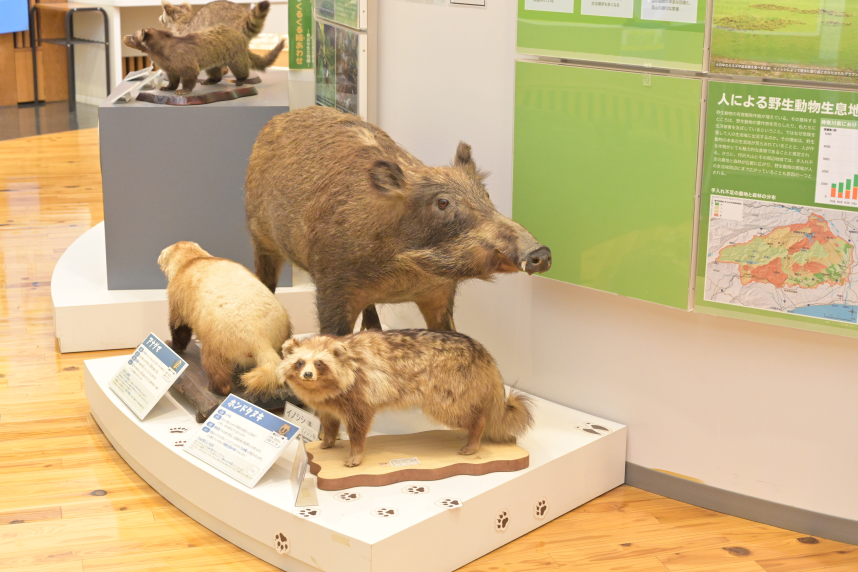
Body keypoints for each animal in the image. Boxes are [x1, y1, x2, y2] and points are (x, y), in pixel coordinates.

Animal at [122, 25, 282, 94]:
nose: (124, 36)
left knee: (243, 72)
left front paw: (182, 91)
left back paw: (240, 82)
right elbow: (173, 82)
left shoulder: (189, 68)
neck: (160, 57)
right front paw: (167, 88)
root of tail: (242, 37)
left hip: (236, 60)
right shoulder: (171, 71)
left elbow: (188, 82)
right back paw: (209, 81)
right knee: (217, 76)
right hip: (213, 66)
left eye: (133, 36)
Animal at [159, 241, 292, 398]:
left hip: (214, 348)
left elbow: (179, 331)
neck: (194, 261)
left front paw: (171, 345)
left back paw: (214, 388)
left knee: (218, 373)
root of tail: (260, 338)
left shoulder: (177, 305)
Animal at [276, 328, 528, 466]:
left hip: (446, 390)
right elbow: (329, 421)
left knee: (466, 414)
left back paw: (475, 434)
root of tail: (481, 351)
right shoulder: (329, 402)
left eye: (319, 363)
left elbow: (358, 428)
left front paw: (356, 454)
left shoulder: (359, 397)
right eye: (300, 363)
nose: (308, 375)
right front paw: (327, 440)